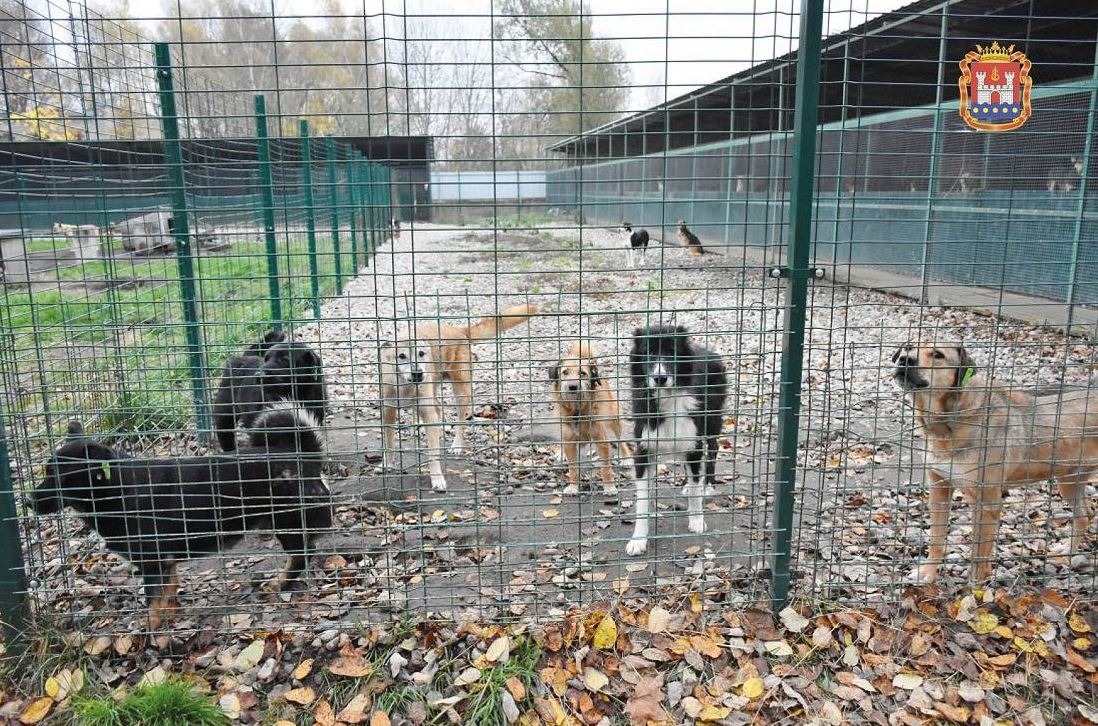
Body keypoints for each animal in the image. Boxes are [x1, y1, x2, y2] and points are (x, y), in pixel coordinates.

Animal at [32, 401, 327, 628]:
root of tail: (301, 454)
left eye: (61, 479)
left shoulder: (152, 563)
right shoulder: (166, 561)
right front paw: (171, 616)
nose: (27, 501)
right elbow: (169, 592)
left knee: (303, 554)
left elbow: (152, 603)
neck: (121, 489)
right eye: (46, 471)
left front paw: (151, 633)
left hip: (287, 523)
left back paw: (280, 583)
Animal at [379, 303, 538, 489]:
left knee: (461, 420)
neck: (405, 386)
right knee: (439, 408)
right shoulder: (388, 411)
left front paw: (437, 478)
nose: (418, 373)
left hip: (461, 390)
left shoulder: (427, 410)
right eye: (401, 356)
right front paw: (387, 463)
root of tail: (460, 331)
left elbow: (433, 454)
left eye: (421, 353)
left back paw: (456, 445)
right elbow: (389, 442)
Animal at [546, 340, 632, 492]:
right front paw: (573, 487)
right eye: (565, 372)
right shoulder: (569, 440)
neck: (577, 410)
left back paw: (626, 458)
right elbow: (573, 468)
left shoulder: (601, 439)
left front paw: (609, 487)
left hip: (615, 419)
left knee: (621, 440)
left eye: (582, 373)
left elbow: (606, 468)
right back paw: (561, 454)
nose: (572, 386)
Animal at [628, 325, 729, 555]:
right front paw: (638, 539)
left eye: (672, 351)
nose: (660, 378)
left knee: (713, 448)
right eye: (648, 352)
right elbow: (642, 501)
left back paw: (708, 484)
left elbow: (695, 491)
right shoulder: (643, 450)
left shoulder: (694, 442)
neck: (667, 397)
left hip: (711, 420)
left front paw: (697, 520)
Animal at [895, 340, 1093, 584]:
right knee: (1084, 515)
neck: (948, 423)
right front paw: (927, 574)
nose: (905, 359)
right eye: (908, 347)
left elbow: (980, 554)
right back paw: (1066, 551)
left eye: (938, 355)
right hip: (1069, 480)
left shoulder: (988, 502)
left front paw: (974, 587)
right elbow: (937, 539)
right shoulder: (939, 488)